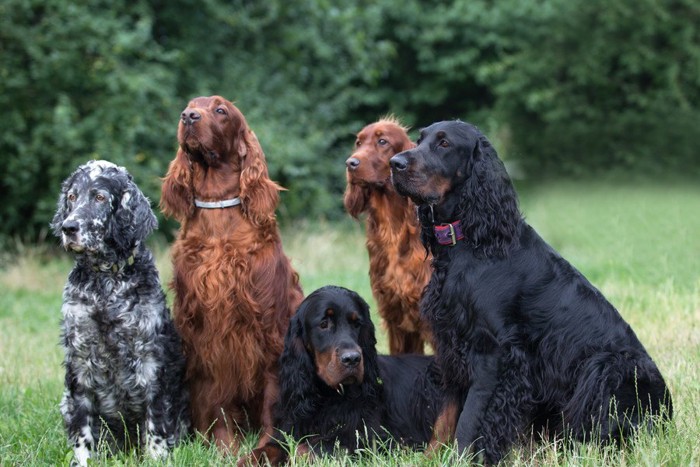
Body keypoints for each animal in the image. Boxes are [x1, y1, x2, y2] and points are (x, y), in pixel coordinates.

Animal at [50, 162, 190, 467]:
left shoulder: (151, 361)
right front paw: (82, 459)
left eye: (100, 197)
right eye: (72, 197)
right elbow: (82, 431)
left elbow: (156, 425)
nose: (69, 227)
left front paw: (157, 457)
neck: (106, 284)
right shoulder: (79, 364)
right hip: (66, 401)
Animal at [161, 94, 304, 454]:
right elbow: (217, 398)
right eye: (190, 105)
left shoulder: (269, 329)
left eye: (220, 110)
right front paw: (225, 446)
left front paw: (266, 445)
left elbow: (272, 400)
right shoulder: (207, 335)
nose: (188, 116)